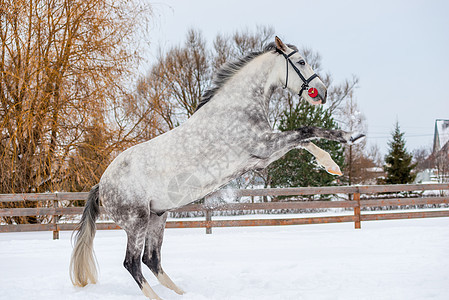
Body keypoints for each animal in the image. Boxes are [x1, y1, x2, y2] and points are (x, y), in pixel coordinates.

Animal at [71, 36, 364, 298]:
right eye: (301, 62)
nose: (323, 93)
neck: (236, 107)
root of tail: (102, 185)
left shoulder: (263, 156)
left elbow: (304, 141)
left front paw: (332, 165)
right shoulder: (264, 146)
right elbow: (308, 130)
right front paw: (351, 136)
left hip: (158, 217)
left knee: (151, 259)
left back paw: (182, 293)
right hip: (137, 222)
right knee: (132, 263)